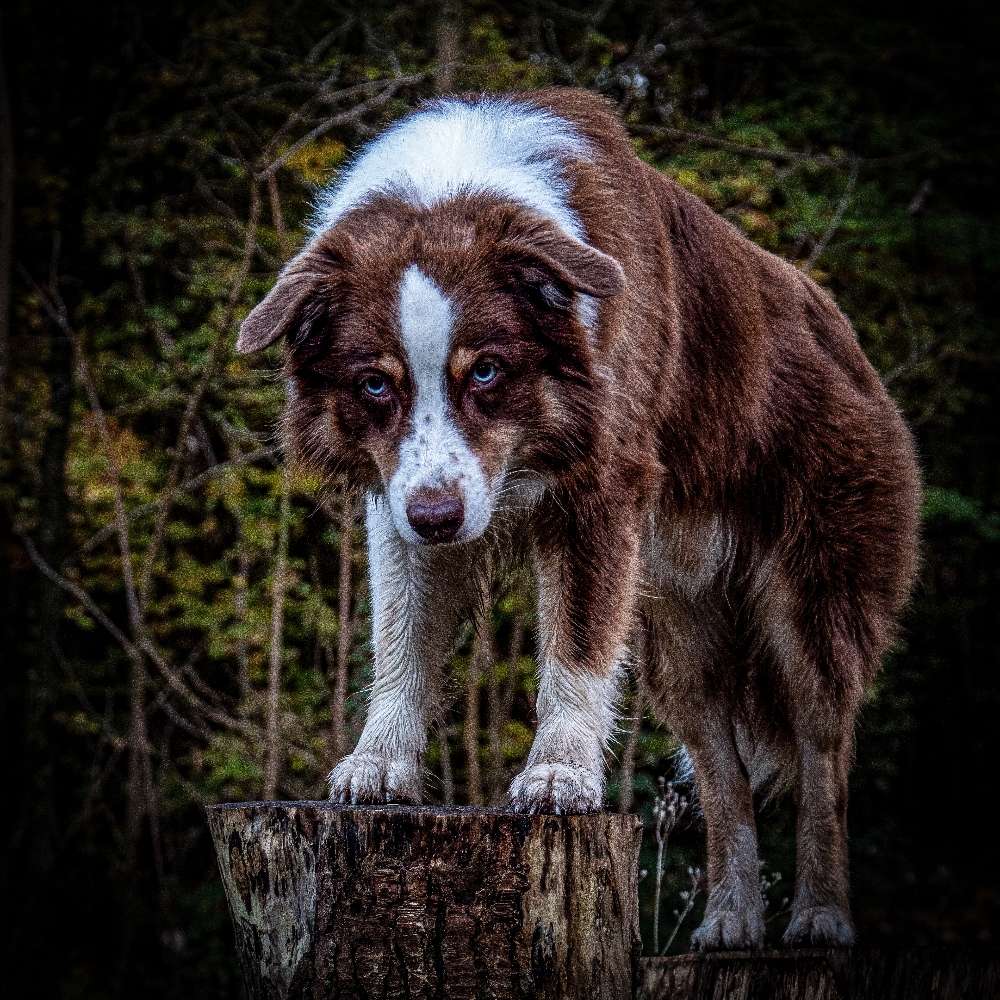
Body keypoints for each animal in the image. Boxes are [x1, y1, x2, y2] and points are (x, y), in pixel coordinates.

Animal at [236, 90, 920, 948]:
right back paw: (730, 918)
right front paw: (381, 760)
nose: (439, 518)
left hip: (810, 600)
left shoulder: (601, 492)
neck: (451, 184)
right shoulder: (400, 504)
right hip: (682, 640)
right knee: (723, 772)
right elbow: (401, 639)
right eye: (373, 385)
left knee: (824, 754)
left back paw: (821, 916)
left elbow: (577, 651)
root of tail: (851, 345)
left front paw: (557, 772)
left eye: (487, 371)